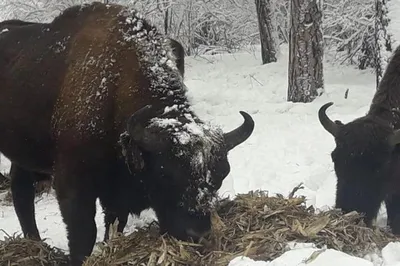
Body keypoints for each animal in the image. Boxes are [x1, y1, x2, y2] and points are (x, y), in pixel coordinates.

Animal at [0, 2, 255, 266]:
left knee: (21, 189)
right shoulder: (73, 184)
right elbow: (84, 234)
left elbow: (114, 224)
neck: (114, 87)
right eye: (166, 174)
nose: (197, 233)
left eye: (220, 176)